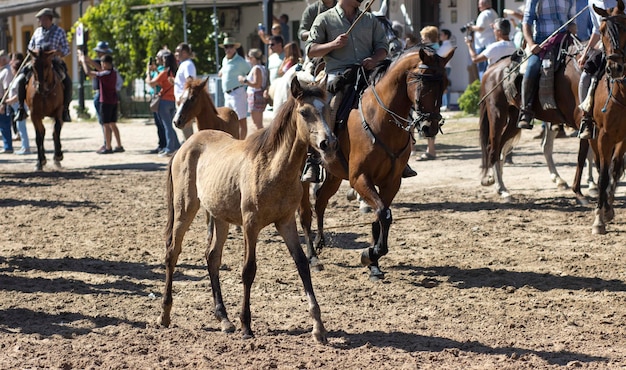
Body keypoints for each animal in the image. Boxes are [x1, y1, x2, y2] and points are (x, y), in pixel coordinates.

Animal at [160, 79, 336, 344]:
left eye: (326, 109)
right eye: (304, 112)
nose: (328, 143)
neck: (273, 168)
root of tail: (184, 148)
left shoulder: (286, 223)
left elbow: (302, 265)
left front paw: (319, 327)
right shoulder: (250, 225)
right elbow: (248, 270)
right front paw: (246, 325)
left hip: (220, 217)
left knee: (212, 257)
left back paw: (223, 318)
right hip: (185, 210)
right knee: (173, 253)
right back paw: (165, 315)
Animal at [300, 44, 450, 280]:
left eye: (444, 84)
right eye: (423, 82)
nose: (429, 127)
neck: (381, 120)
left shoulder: (392, 181)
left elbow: (381, 217)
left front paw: (373, 263)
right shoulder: (360, 178)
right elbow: (383, 214)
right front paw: (369, 254)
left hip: (334, 174)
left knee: (321, 200)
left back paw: (320, 242)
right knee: (305, 214)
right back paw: (313, 256)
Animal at [478, 38, 588, 205]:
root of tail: (491, 69)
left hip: (514, 121)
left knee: (501, 148)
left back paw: (499, 185)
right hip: (497, 115)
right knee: (493, 148)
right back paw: (502, 190)